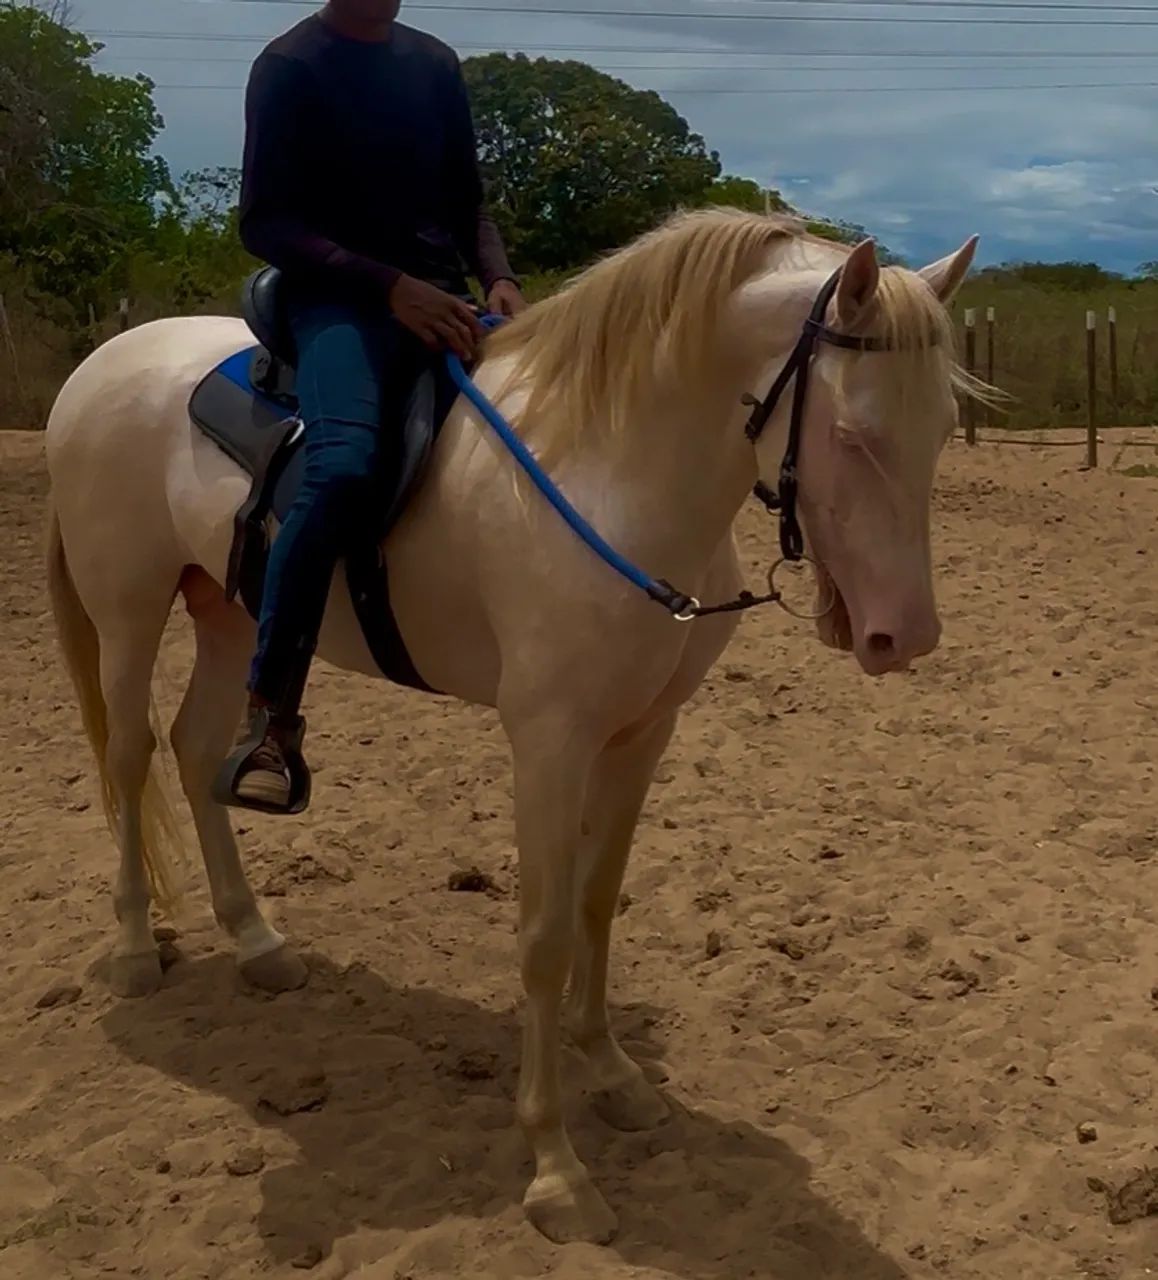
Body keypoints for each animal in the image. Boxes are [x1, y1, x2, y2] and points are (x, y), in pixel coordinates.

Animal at [44, 208, 979, 1245]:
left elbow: (597, 904)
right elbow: (543, 934)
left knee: (199, 748)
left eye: (943, 429)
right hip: (129, 611)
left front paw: (610, 1072)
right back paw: (135, 951)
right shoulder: (548, 744)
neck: (610, 470)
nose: (905, 636)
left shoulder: (642, 734)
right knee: (129, 757)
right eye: (851, 433)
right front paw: (557, 1168)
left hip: (231, 613)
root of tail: (103, 364)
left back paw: (255, 939)